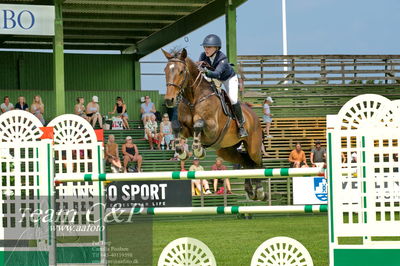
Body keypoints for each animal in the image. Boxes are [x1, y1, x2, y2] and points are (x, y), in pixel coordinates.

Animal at [161, 48, 268, 201]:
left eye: (181, 71)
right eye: (165, 70)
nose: (169, 100)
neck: (194, 98)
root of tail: (255, 116)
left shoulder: (212, 129)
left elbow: (198, 124)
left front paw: (198, 149)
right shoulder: (185, 127)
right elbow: (176, 126)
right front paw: (181, 152)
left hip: (253, 146)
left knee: (256, 162)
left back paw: (260, 192)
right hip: (226, 150)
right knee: (246, 161)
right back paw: (250, 191)